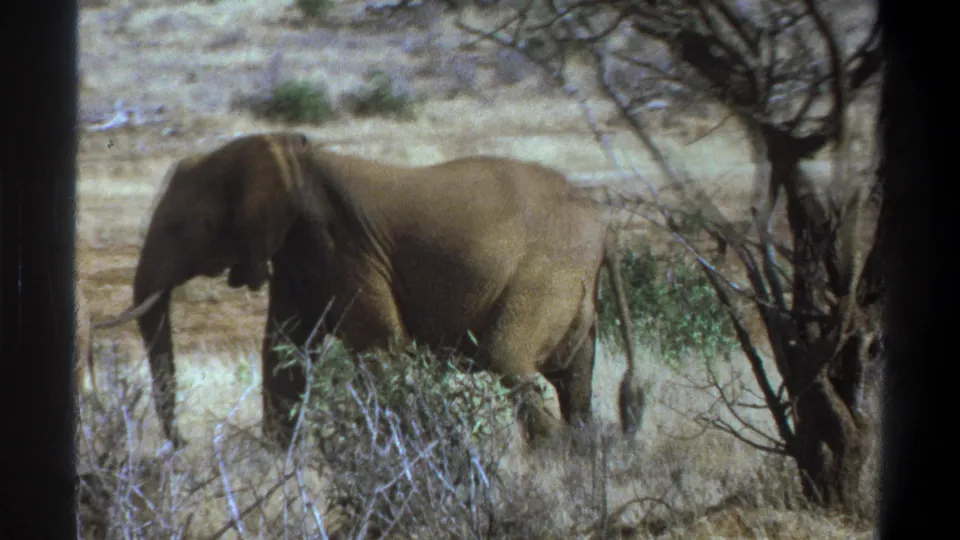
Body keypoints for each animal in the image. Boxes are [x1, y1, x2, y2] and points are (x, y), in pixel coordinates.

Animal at [95, 131, 645, 450]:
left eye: (184, 227)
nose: (181, 445)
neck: (291, 158)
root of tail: (606, 227)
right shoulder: (298, 255)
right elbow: (286, 352)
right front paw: (277, 460)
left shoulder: (340, 244)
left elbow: (380, 348)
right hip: (572, 286)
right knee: (573, 376)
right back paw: (584, 452)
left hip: (544, 272)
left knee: (509, 359)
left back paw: (552, 457)